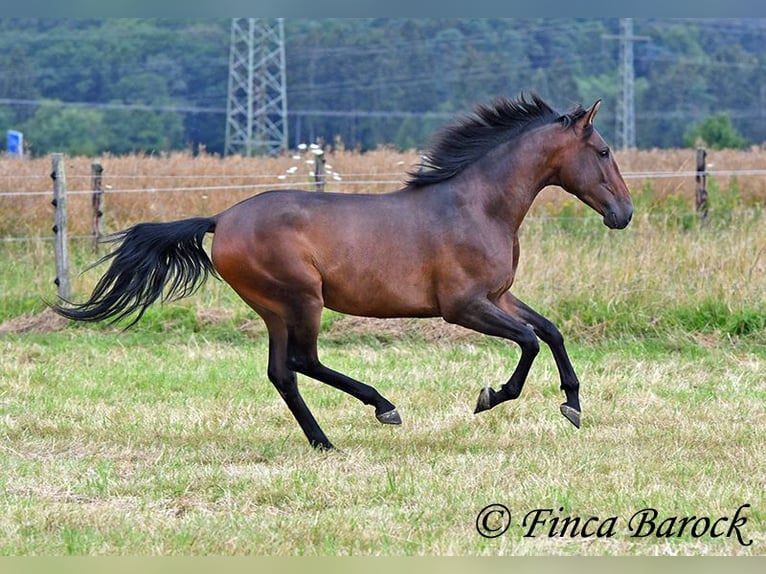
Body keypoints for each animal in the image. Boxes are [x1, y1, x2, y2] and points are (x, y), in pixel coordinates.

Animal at [51, 94, 632, 452]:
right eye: (603, 151)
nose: (623, 214)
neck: (477, 206)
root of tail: (221, 219)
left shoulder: (500, 295)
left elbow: (550, 330)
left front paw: (573, 405)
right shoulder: (464, 306)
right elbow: (530, 341)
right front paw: (490, 397)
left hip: (273, 309)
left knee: (282, 372)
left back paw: (322, 440)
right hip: (301, 300)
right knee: (303, 361)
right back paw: (382, 408)